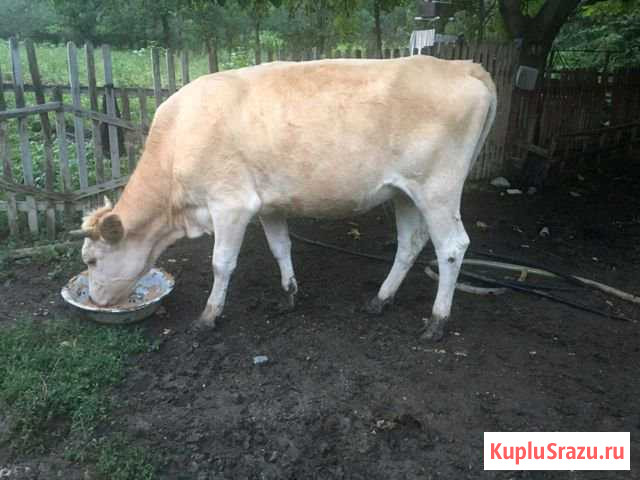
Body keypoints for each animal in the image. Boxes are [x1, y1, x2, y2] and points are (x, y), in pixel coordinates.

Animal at [72, 55, 497, 341]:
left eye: (91, 260)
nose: (95, 300)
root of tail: (460, 65)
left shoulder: (230, 204)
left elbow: (221, 263)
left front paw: (209, 316)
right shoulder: (267, 205)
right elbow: (281, 248)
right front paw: (289, 295)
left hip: (438, 188)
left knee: (452, 246)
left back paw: (437, 321)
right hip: (405, 191)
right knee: (410, 243)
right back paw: (381, 299)